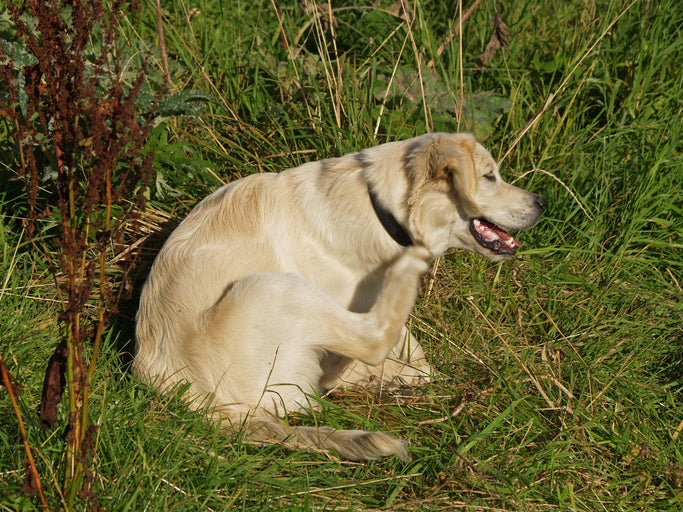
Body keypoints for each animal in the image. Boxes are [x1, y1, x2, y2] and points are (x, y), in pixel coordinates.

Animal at [136, 132, 548, 460]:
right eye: (489, 177)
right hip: (274, 289)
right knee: (373, 339)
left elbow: (415, 359)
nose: (541, 202)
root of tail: (207, 406)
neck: (380, 209)